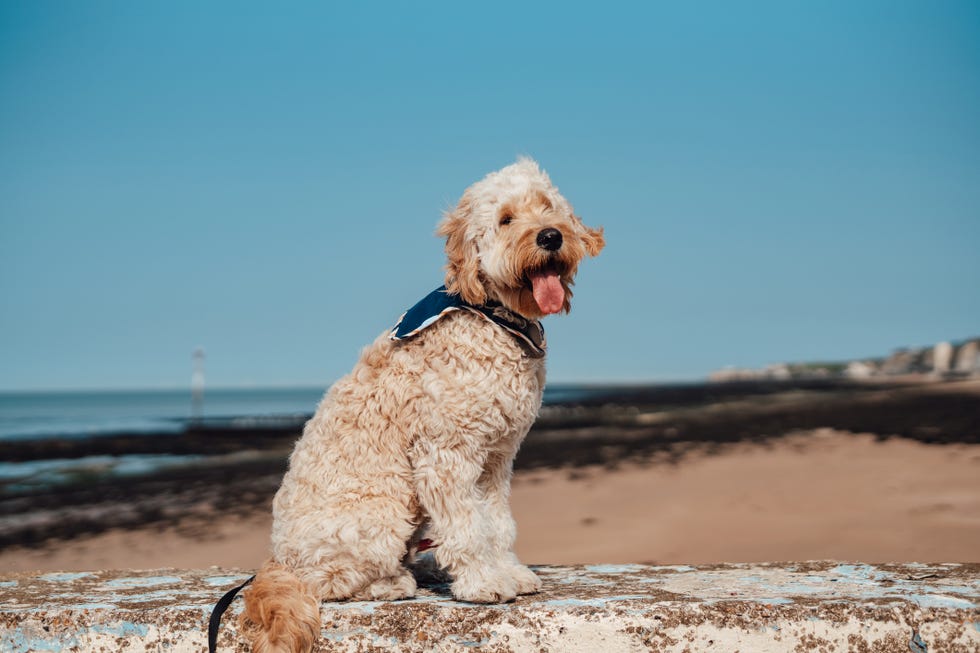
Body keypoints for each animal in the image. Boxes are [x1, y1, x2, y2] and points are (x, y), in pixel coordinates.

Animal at [239, 159, 604, 652]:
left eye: (547, 207)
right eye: (506, 219)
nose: (550, 236)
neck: (494, 319)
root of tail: (279, 559)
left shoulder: (496, 459)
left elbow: (496, 524)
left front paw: (507, 571)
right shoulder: (447, 455)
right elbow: (467, 528)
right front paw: (483, 583)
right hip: (382, 511)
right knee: (329, 582)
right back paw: (391, 583)